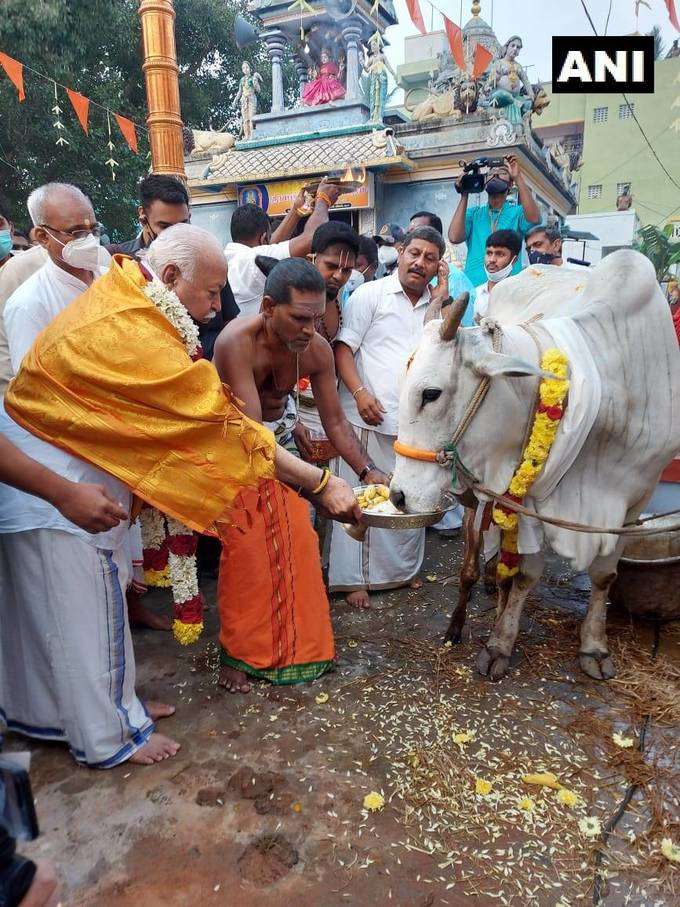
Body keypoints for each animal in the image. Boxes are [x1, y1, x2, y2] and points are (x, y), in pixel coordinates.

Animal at [390, 250, 676, 680]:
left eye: (430, 393)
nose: (398, 496)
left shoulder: (636, 499)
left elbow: (604, 574)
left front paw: (594, 646)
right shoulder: (531, 501)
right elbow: (526, 574)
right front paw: (499, 644)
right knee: (478, 554)